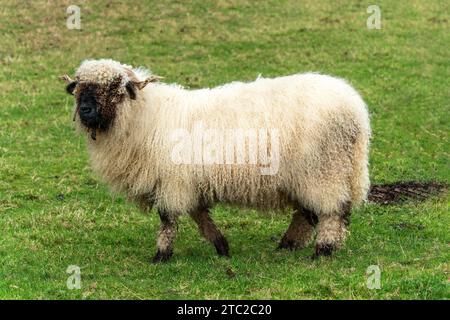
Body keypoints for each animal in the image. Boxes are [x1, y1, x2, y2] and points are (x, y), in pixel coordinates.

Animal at [61, 58, 370, 262]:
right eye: (79, 88)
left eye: (114, 87)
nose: (86, 110)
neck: (145, 118)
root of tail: (356, 109)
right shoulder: (188, 181)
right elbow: (199, 215)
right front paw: (221, 246)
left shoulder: (172, 181)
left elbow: (168, 219)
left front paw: (161, 254)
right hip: (310, 173)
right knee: (309, 212)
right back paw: (289, 244)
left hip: (322, 169)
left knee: (332, 211)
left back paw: (324, 250)